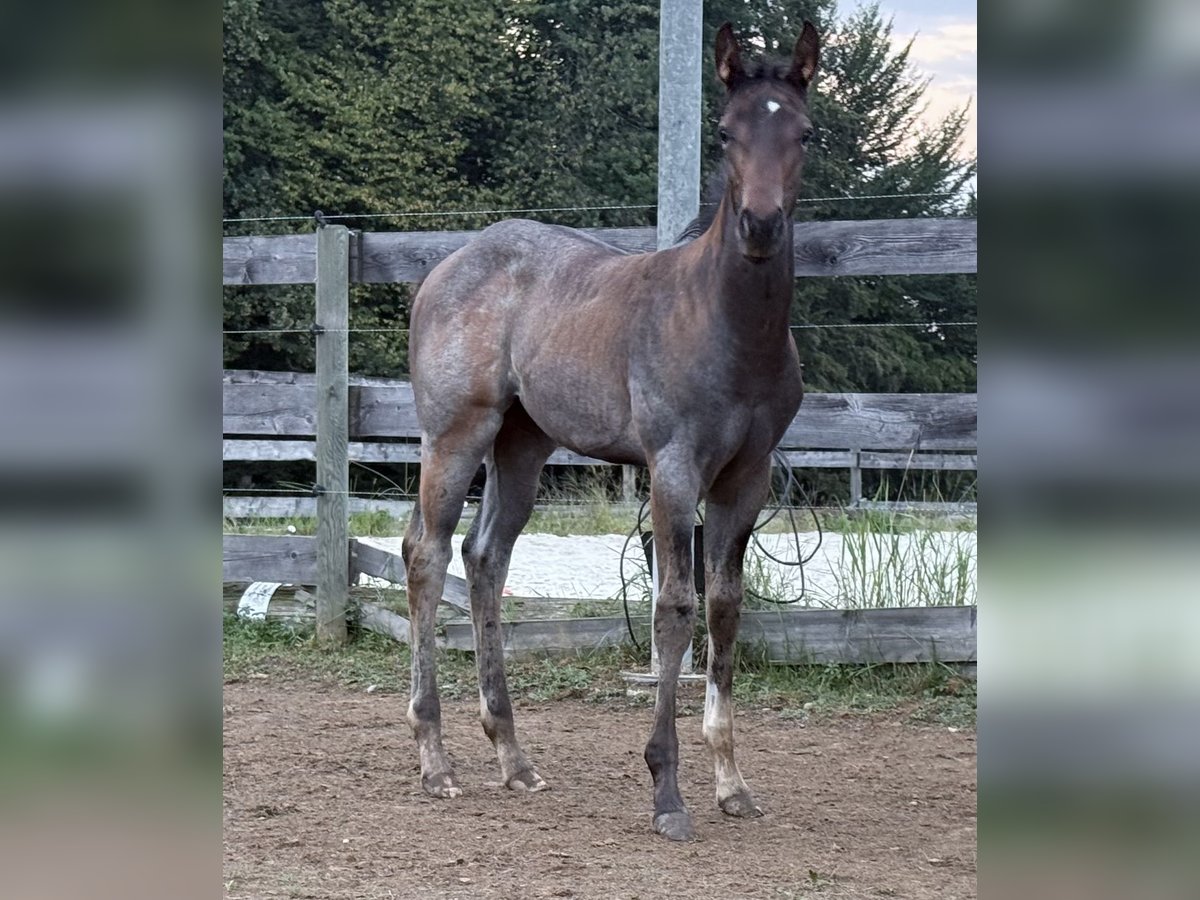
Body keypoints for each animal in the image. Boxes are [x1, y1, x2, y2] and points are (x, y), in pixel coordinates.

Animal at [402, 20, 819, 841]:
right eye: (725, 133)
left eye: (804, 133)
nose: (759, 226)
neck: (728, 326)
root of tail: (444, 269)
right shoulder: (674, 465)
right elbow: (675, 606)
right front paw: (668, 793)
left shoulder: (748, 476)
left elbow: (725, 606)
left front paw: (732, 784)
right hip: (456, 434)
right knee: (426, 555)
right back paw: (435, 760)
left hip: (522, 445)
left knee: (484, 557)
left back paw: (514, 758)